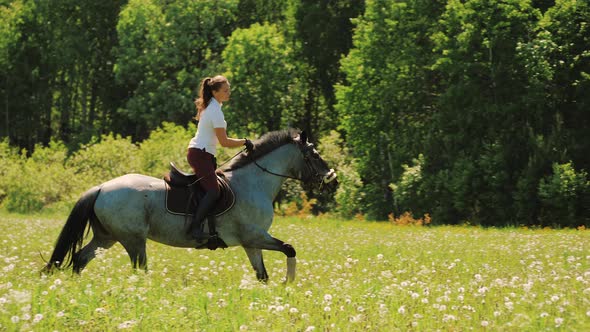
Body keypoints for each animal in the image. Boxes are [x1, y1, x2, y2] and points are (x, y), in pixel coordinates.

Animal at [42, 130, 338, 282]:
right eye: (314, 155)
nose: (333, 181)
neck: (254, 182)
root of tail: (102, 187)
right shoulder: (254, 236)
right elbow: (289, 248)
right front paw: (288, 282)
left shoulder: (251, 243)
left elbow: (263, 274)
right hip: (133, 240)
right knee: (138, 269)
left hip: (107, 237)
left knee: (80, 258)